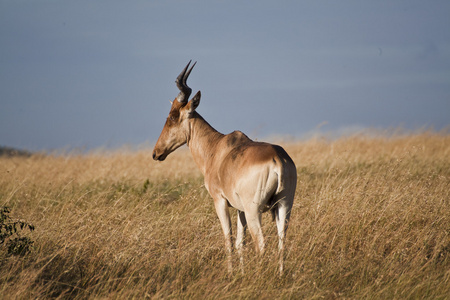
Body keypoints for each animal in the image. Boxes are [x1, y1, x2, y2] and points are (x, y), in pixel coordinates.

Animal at [153, 61, 298, 274]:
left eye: (172, 116)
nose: (156, 153)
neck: (217, 148)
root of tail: (277, 158)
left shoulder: (220, 201)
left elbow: (228, 240)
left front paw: (230, 274)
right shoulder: (239, 208)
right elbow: (239, 243)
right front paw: (241, 273)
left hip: (255, 210)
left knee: (261, 243)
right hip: (285, 205)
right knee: (282, 241)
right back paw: (280, 275)